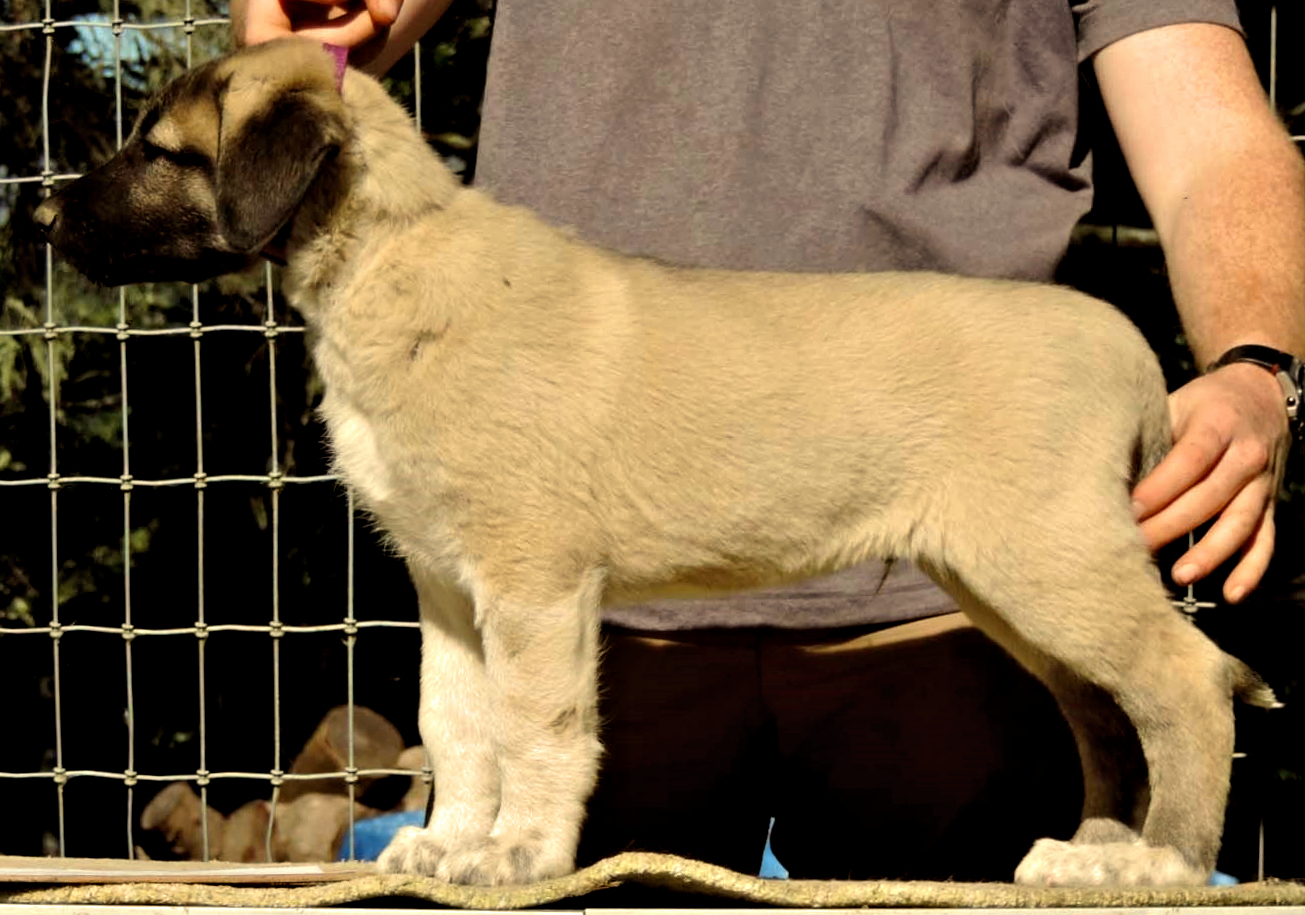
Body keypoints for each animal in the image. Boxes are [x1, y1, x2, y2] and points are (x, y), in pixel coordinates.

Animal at [38, 37, 1273, 887]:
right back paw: (1092, 853)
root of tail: (1129, 351)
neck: (390, 257)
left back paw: (1161, 863)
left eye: (159, 150)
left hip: (1047, 558)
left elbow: (536, 727)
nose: (44, 220)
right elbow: (456, 724)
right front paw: (447, 845)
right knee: (1106, 710)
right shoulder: (446, 584)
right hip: (1012, 579)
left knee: (1184, 682)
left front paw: (518, 854)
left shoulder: (534, 580)